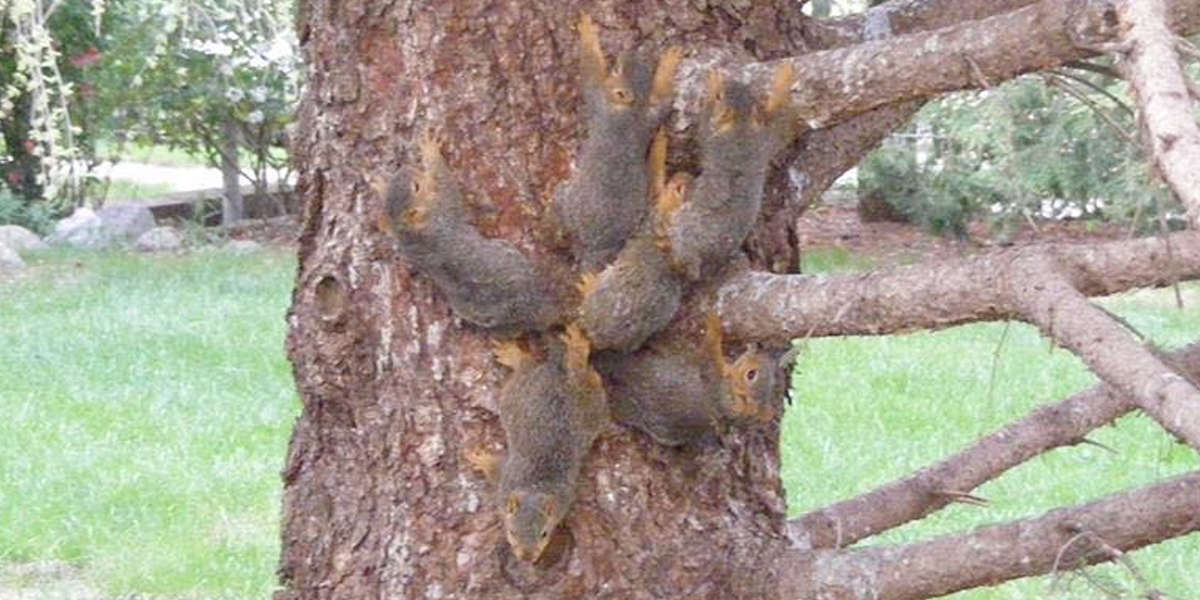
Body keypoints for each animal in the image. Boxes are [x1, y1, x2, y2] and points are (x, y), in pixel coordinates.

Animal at [380, 134, 572, 335]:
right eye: (416, 187)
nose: (406, 168)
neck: (411, 231)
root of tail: (530, 310)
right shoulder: (444, 211)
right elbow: (446, 182)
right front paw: (430, 150)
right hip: (514, 257)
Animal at [467, 325, 608, 562]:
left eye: (544, 534)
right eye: (512, 532)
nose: (526, 557)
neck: (534, 487)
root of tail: (559, 377)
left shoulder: (564, 499)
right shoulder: (505, 481)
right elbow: (495, 468)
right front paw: (480, 459)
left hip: (586, 406)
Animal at [552, 14, 682, 272]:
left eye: (616, 69)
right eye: (647, 70)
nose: (628, 51)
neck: (628, 110)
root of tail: (594, 247)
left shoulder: (598, 99)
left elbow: (589, 70)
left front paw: (587, 27)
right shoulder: (647, 117)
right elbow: (662, 102)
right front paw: (668, 63)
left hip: (567, 203)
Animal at [592, 310, 776, 447]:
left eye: (751, 374)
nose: (760, 349)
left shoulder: (710, 372)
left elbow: (710, 346)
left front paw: (714, 324)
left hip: (630, 401)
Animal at [659, 63, 798, 282]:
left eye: (719, 96)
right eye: (750, 92)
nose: (729, 80)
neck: (740, 125)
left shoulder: (715, 138)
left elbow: (703, 126)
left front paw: (711, 81)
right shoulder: (764, 140)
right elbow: (782, 126)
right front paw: (785, 76)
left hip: (687, 228)